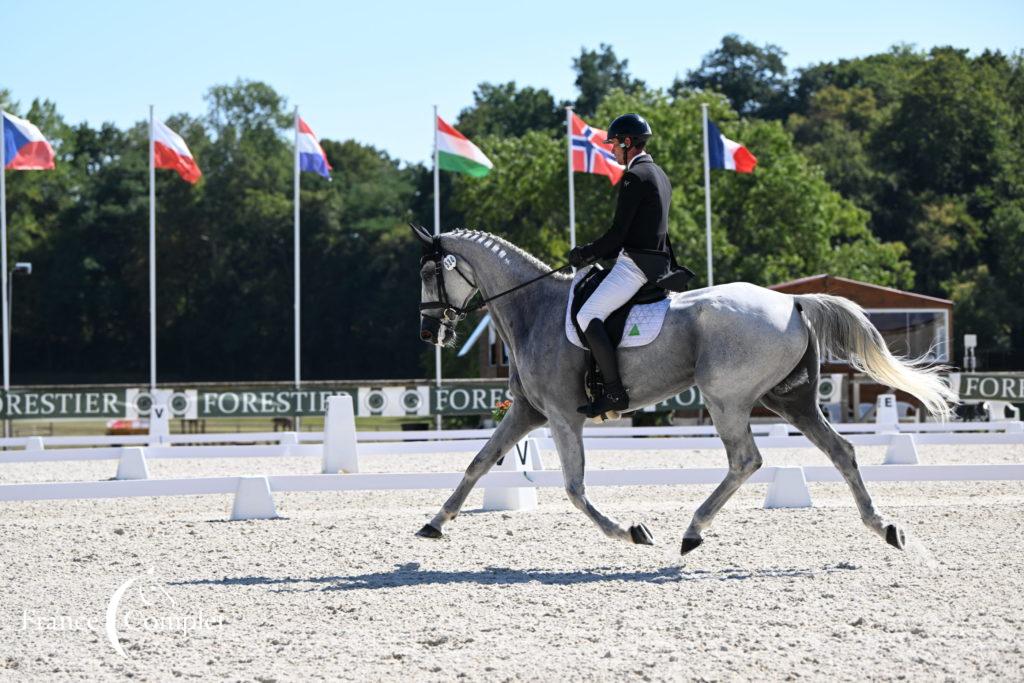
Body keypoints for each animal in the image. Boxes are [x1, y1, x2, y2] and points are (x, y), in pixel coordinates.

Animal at [411, 227, 954, 557]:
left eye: (428, 273)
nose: (429, 333)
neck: (534, 309)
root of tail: (793, 303)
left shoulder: (564, 416)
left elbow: (574, 489)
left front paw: (632, 532)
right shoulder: (527, 411)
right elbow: (479, 462)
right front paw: (435, 522)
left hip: (727, 398)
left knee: (746, 460)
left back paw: (692, 531)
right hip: (788, 399)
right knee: (841, 451)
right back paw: (884, 527)